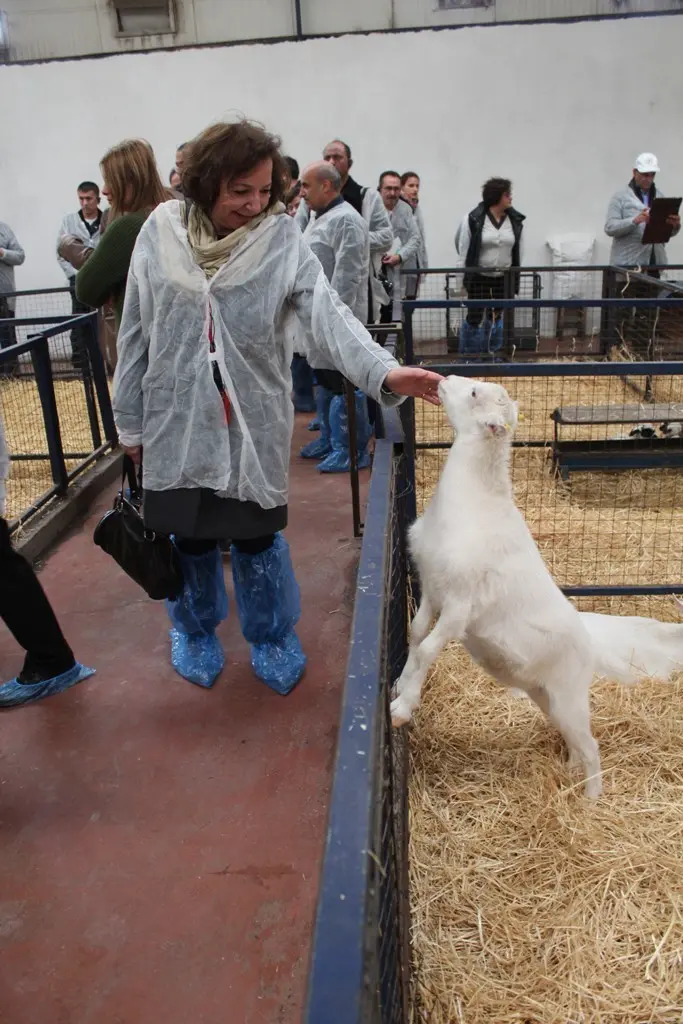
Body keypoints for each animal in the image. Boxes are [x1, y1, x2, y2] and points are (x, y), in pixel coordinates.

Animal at [393, 376, 683, 798]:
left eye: (475, 394)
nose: (442, 381)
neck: (475, 504)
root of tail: (589, 642)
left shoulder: (461, 605)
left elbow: (430, 648)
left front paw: (402, 708)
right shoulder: (433, 587)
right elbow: (416, 634)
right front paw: (401, 683)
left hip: (569, 696)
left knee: (592, 745)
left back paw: (590, 800)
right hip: (545, 696)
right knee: (575, 741)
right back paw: (569, 772)